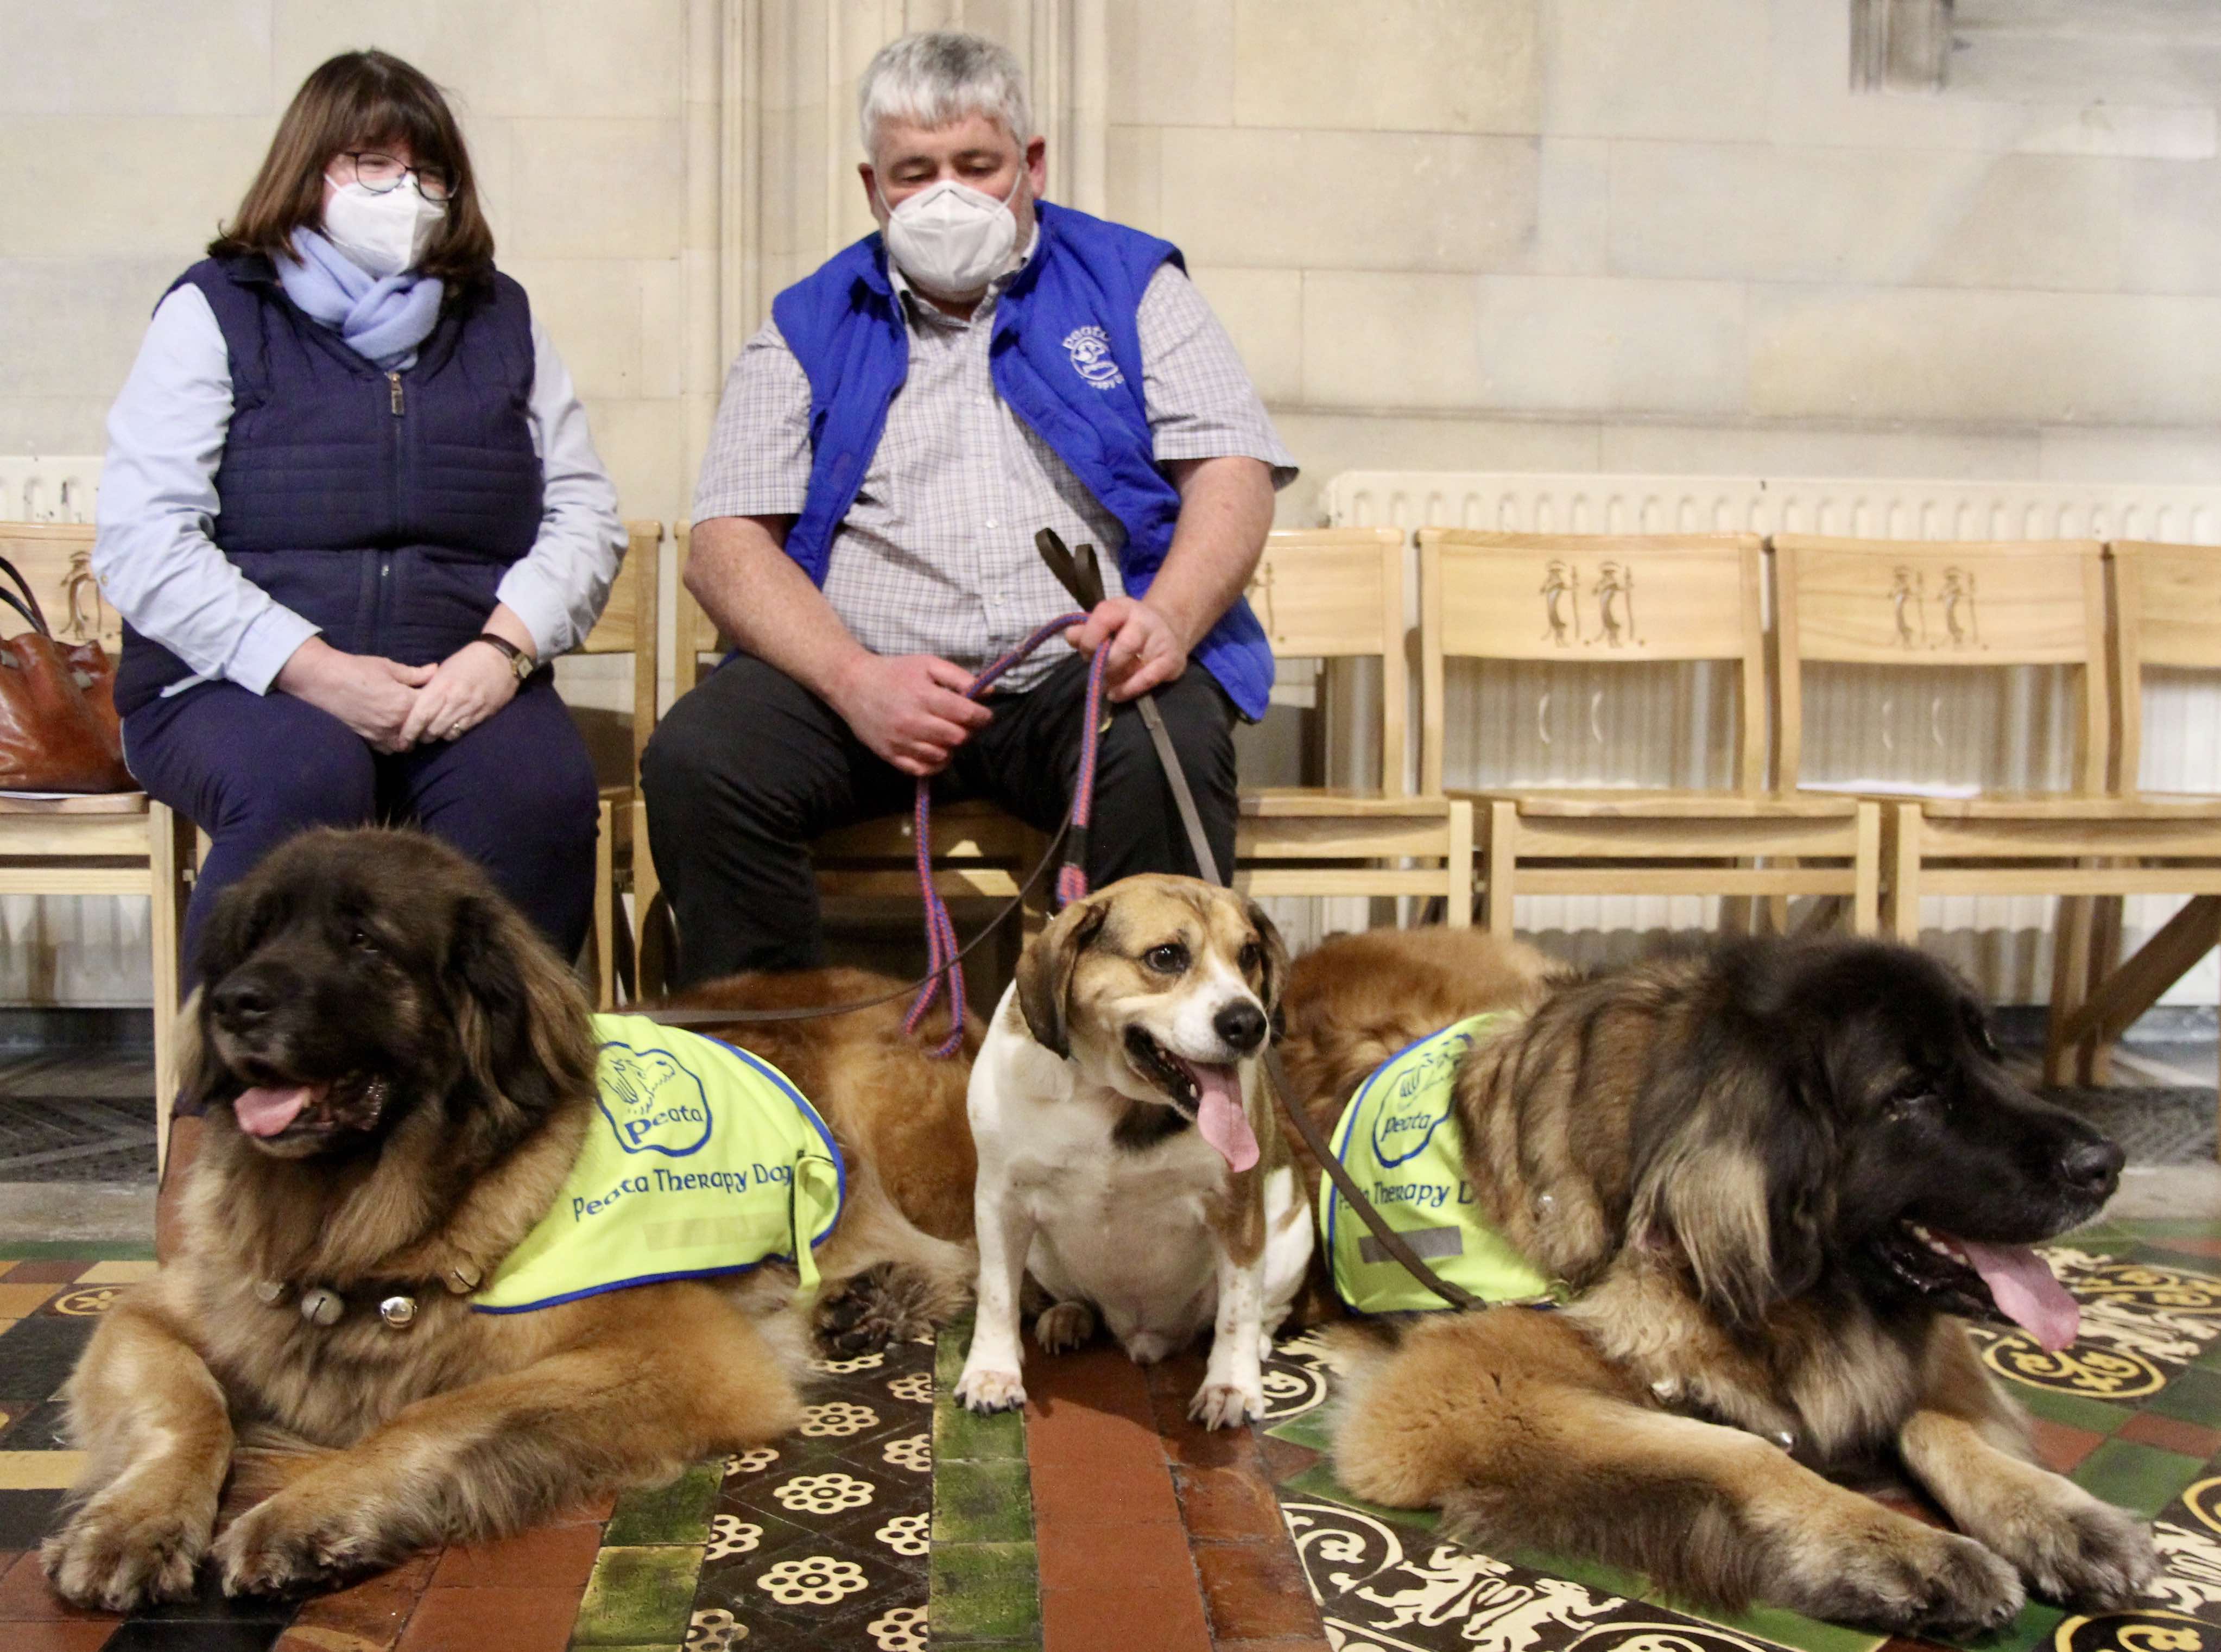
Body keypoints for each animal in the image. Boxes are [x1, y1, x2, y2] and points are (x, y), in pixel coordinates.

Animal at [43, 830, 977, 1607]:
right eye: (253, 937)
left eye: (365, 941)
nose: (233, 1003)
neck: (372, 1219)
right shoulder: (156, 1309)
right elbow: (185, 1406)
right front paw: (134, 1517)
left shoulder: (685, 1351)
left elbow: (438, 1412)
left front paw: (304, 1511)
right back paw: (864, 1296)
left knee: (974, 1249)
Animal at [959, 870, 1306, 1429]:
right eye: (1165, 956)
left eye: (1249, 954)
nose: (1250, 1023)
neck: (1114, 1098)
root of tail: (1146, 1335)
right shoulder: (1000, 1200)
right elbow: (995, 1295)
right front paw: (992, 1372)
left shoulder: (1237, 1209)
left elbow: (1237, 1311)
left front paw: (1231, 1385)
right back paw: (1068, 1316)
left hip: (1291, 1235)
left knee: (1259, 1310)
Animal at [1297, 928, 2159, 1643]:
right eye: (1910, 1091)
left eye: (1989, 1054)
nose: (2106, 1163)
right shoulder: (1456, 1390)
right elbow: (1741, 1451)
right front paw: (1894, 1546)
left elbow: (1932, 1411)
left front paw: (2052, 1510)